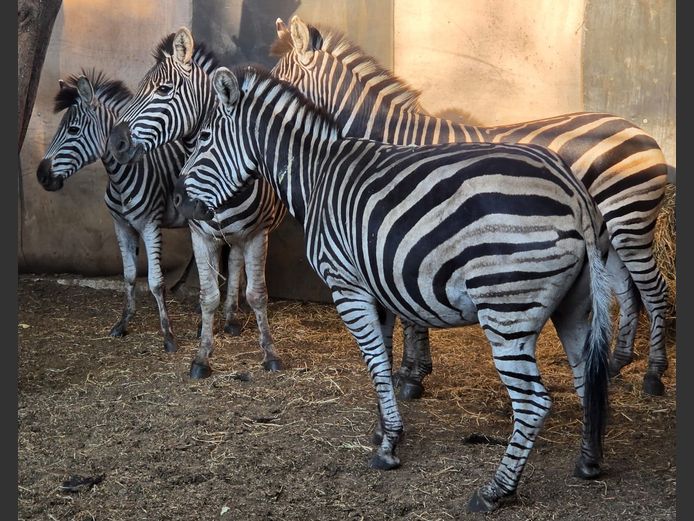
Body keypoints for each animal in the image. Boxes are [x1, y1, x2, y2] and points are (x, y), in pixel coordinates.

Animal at [36, 70, 189, 353]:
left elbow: (156, 281)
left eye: (73, 130)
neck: (121, 177)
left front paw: (168, 335)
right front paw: (123, 323)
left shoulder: (150, 225)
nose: (41, 176)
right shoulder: (122, 226)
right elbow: (128, 276)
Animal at [107, 29, 286, 376]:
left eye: (163, 90)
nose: (115, 142)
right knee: (227, 268)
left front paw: (270, 354)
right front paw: (203, 352)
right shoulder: (200, 234)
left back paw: (231, 319)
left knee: (238, 266)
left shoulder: (258, 234)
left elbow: (258, 295)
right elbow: (207, 295)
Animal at [173, 65, 612, 512]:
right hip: (574, 306)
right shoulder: (375, 288)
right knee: (588, 379)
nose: (179, 204)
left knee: (533, 402)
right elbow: (380, 361)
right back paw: (588, 462)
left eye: (204, 139)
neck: (315, 175)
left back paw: (495, 490)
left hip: (506, 306)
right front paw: (384, 429)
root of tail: (572, 190)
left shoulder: (347, 286)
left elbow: (376, 364)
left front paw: (388, 447)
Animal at [271, 16, 671, 396]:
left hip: (629, 222)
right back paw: (617, 363)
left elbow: (409, 312)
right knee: (627, 291)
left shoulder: (402, 233)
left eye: (279, 80)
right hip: (608, 233)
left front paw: (411, 376)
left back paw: (653, 375)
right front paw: (415, 370)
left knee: (654, 291)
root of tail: (639, 130)